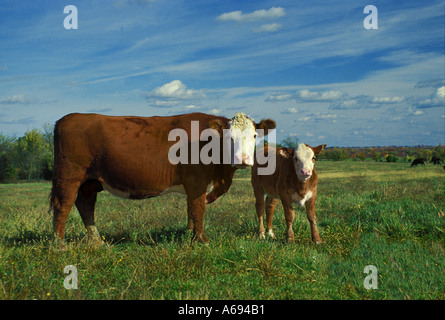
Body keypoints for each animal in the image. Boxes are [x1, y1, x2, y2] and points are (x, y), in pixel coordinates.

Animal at [49, 113, 274, 245]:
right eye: (229, 137)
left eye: (255, 136)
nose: (242, 159)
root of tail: (66, 118)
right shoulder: (197, 181)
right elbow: (198, 208)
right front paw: (201, 239)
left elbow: (190, 209)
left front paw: (189, 234)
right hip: (69, 176)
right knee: (63, 204)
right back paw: (59, 244)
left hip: (89, 182)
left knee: (85, 205)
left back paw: (97, 241)